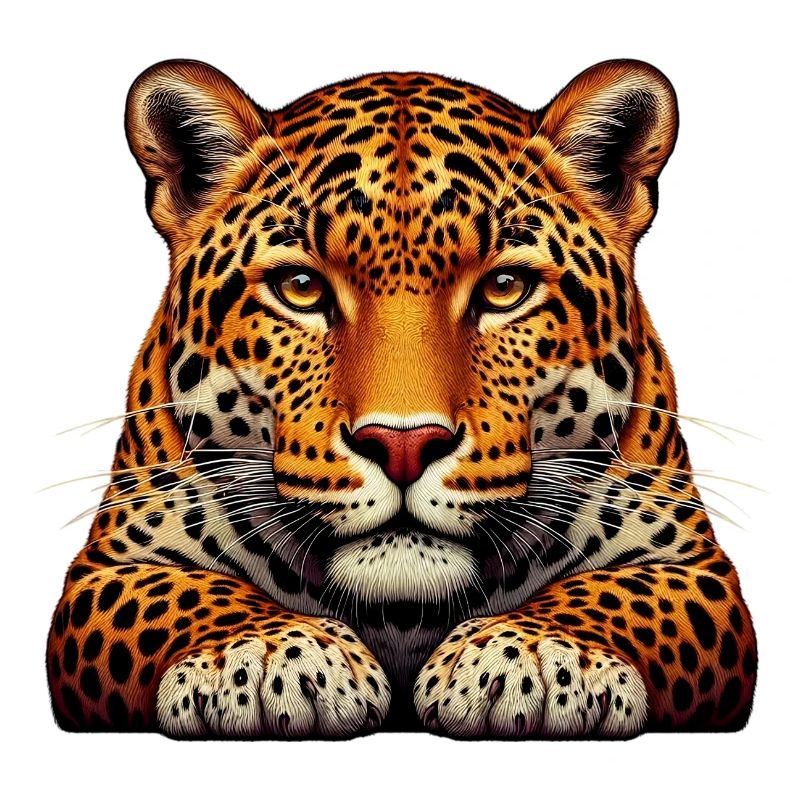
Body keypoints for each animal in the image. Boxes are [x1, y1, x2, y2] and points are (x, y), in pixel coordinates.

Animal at [47, 58, 757, 738]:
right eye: (301, 287)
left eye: (505, 287)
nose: (404, 445)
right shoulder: (110, 566)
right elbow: (184, 593)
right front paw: (266, 655)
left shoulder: (693, 565)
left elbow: (619, 593)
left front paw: (535, 655)